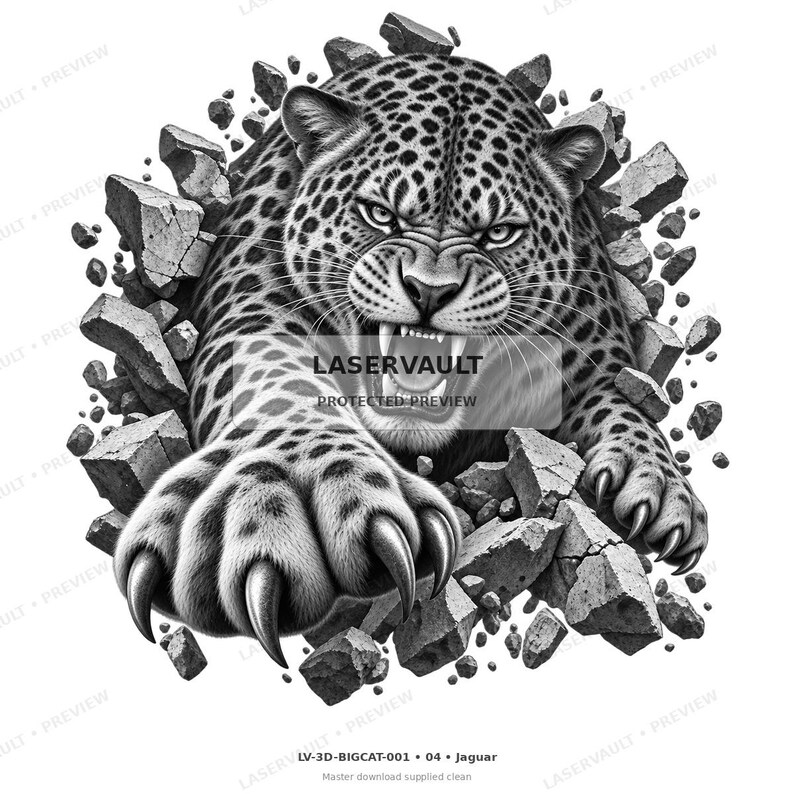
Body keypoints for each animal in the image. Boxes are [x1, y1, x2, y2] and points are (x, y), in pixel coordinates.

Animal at [112, 52, 708, 667]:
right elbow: (286, 391)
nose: (429, 290)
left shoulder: (591, 348)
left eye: (500, 233)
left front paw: (660, 486)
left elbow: (622, 400)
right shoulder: (256, 307)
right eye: (379, 215)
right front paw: (296, 496)